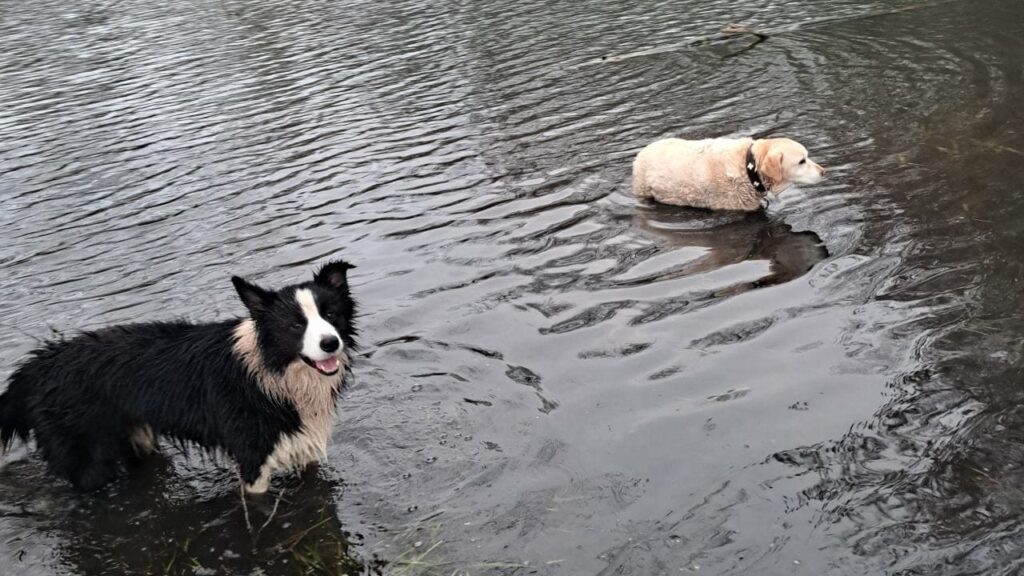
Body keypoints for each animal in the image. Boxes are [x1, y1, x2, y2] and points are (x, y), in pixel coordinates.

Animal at [0, 258, 358, 491]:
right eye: (296, 325)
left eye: (331, 314)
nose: (330, 343)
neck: (274, 371)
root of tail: (37, 364)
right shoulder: (253, 458)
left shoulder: (303, 445)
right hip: (87, 455)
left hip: (137, 437)